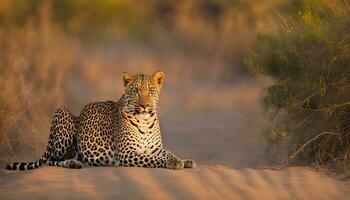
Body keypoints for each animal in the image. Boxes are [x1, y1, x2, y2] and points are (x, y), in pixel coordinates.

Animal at [6, 70, 197, 170]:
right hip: (62, 113)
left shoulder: (154, 148)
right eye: (135, 91)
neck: (144, 120)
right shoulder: (126, 153)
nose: (144, 105)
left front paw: (184, 160)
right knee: (51, 159)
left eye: (150, 91)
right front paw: (174, 163)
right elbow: (154, 160)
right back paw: (72, 163)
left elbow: (169, 152)